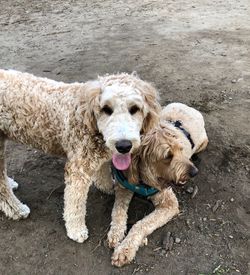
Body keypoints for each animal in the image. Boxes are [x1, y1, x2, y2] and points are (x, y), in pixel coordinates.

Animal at [0, 69, 160, 244]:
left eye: (135, 108)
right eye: (106, 109)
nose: (124, 146)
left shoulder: (100, 157)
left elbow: (102, 174)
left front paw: (107, 187)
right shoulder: (78, 169)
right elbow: (75, 202)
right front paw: (76, 230)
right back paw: (16, 209)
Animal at [93, 102, 208, 266]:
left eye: (181, 149)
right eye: (168, 156)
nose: (194, 172)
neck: (143, 176)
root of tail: (188, 107)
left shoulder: (169, 204)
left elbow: (141, 224)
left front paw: (125, 250)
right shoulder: (124, 187)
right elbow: (118, 211)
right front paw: (115, 233)